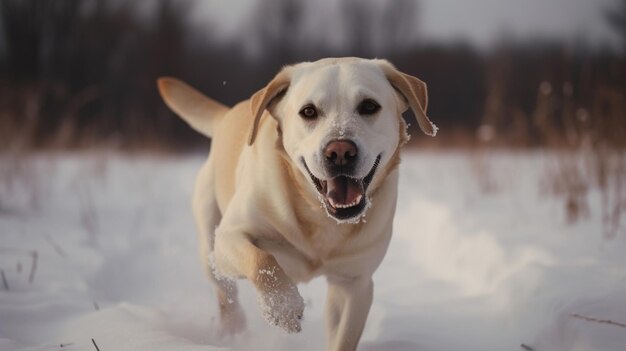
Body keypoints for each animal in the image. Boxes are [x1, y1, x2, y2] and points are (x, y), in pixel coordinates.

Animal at [157, 56, 434, 350]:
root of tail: (227, 114)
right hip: (210, 242)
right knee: (225, 289)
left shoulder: (354, 283)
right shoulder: (230, 236)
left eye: (369, 106)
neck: (319, 214)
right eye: (309, 112)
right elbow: (262, 260)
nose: (340, 152)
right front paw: (284, 309)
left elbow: (343, 338)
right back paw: (232, 329)